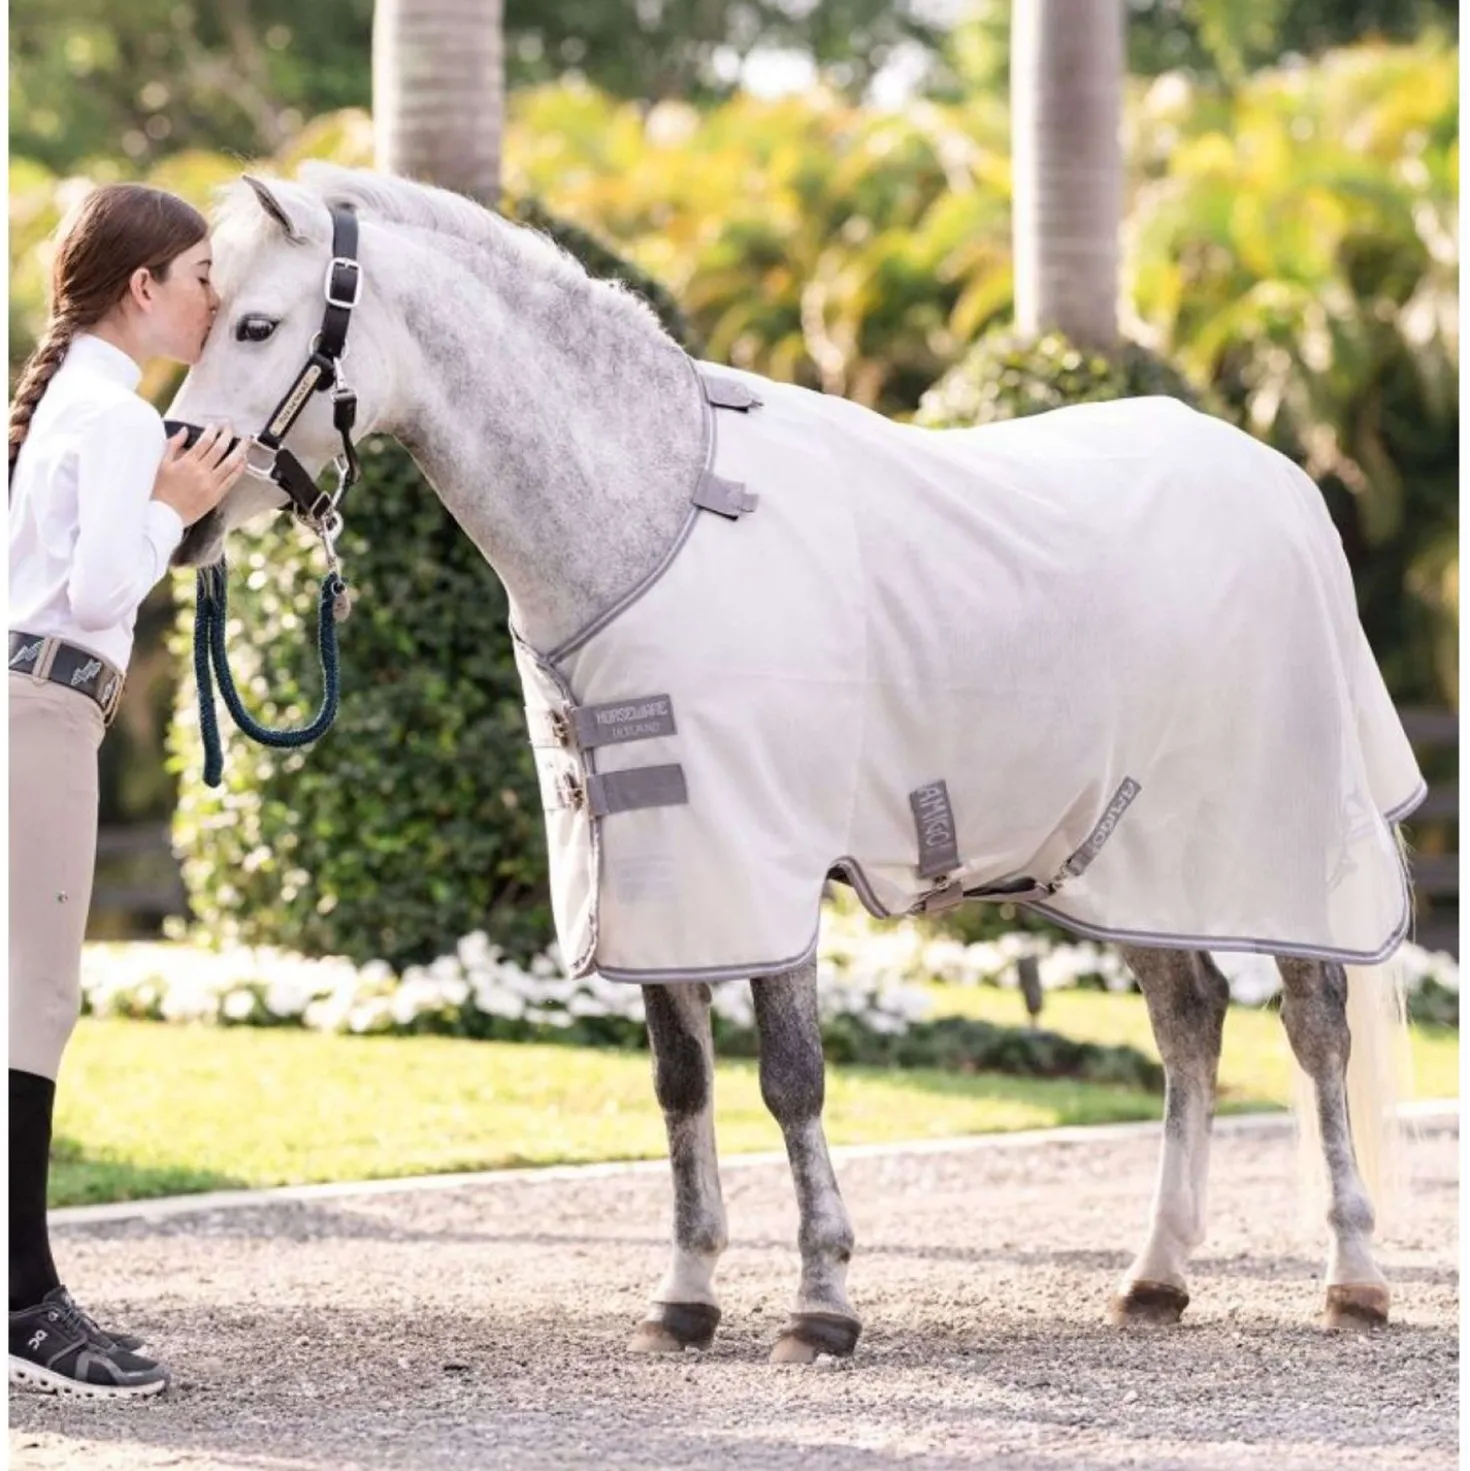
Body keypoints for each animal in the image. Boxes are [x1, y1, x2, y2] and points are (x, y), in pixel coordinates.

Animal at [168, 164, 1421, 1357]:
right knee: (1190, 1021)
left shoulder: (764, 863)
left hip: (1274, 842)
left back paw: (1353, 1276)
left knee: (1314, 1030)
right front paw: (684, 1299)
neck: (654, 514)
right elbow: (682, 1087)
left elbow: (790, 1079)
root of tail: (1282, 479)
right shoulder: (661, 869)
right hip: (1125, 859)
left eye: (258, 326)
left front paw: (821, 1304)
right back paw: (1155, 1278)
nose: (183, 510)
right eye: (205, 314)